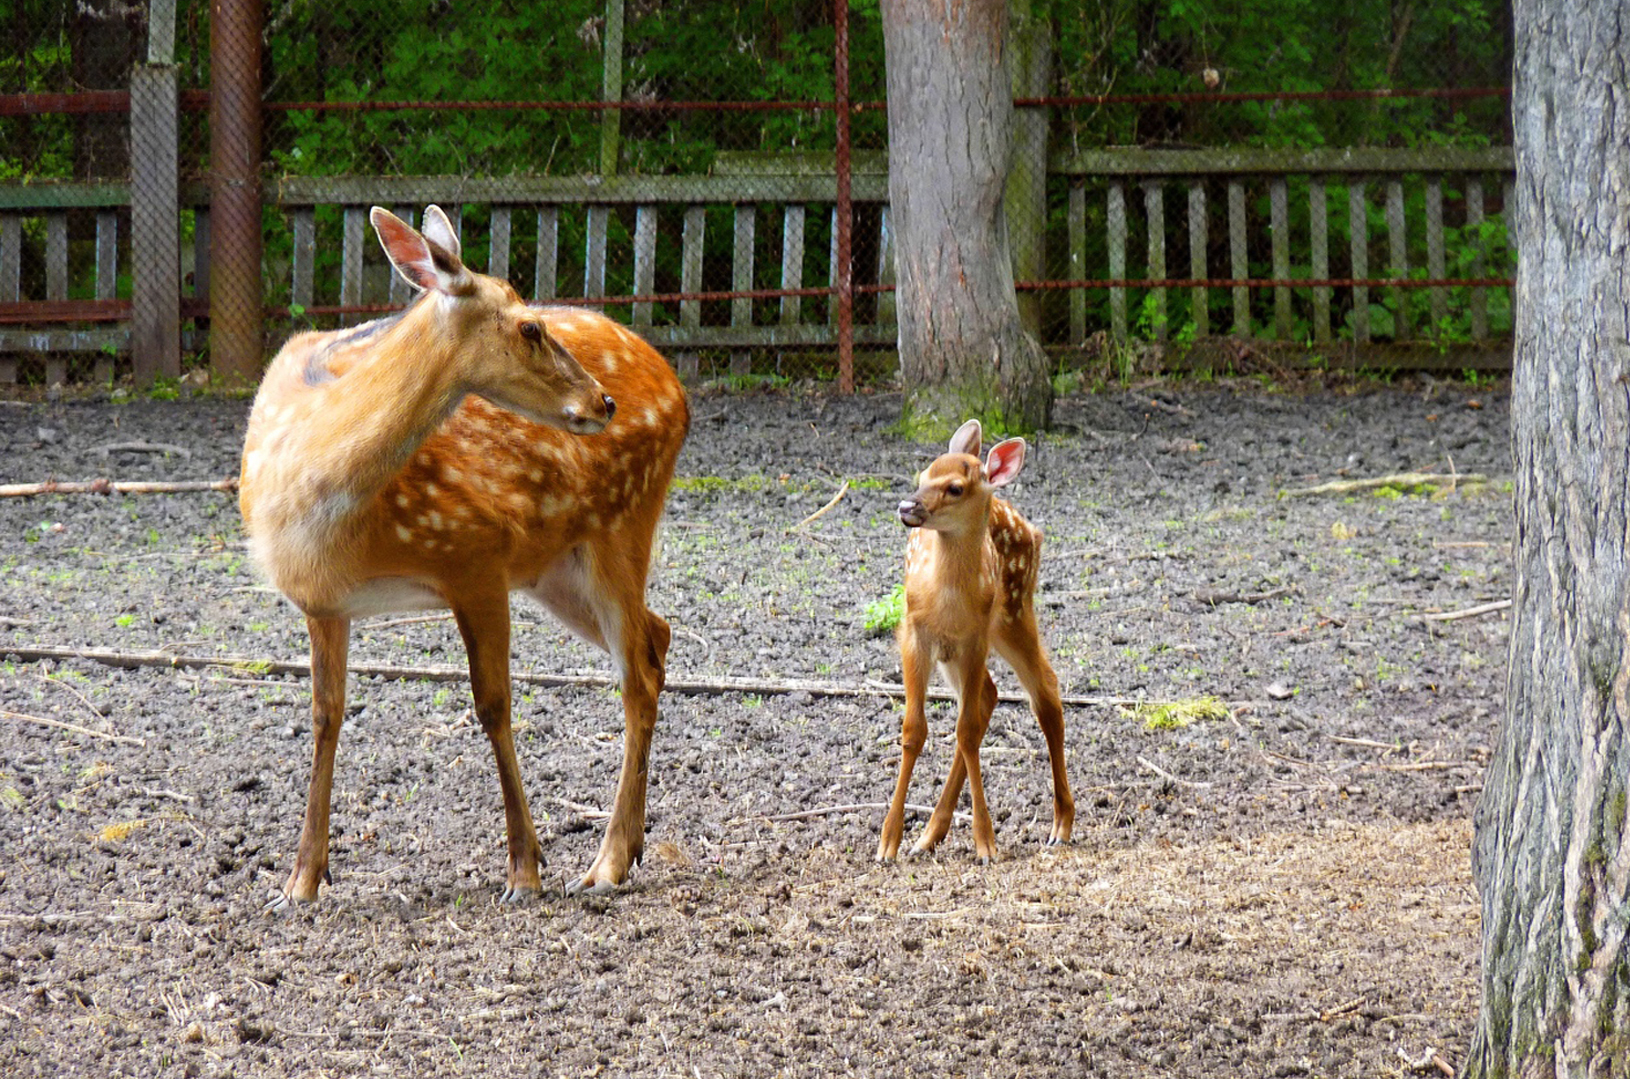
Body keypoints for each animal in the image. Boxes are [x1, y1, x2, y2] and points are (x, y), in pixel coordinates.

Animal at [237, 205, 684, 912]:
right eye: (529, 327)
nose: (603, 401)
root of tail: (677, 386)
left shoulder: (477, 554)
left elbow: (494, 705)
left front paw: (525, 870)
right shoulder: (324, 602)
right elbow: (325, 716)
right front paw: (301, 880)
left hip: (623, 521)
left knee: (635, 670)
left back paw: (607, 861)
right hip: (557, 568)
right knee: (657, 635)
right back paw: (630, 845)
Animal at [880, 417, 1069, 867]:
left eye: (954, 488)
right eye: (921, 475)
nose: (907, 506)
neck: (946, 601)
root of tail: (1031, 529)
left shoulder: (976, 636)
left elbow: (963, 730)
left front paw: (985, 843)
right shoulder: (914, 631)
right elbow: (914, 730)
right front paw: (888, 842)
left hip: (1013, 611)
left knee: (1044, 691)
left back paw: (1061, 825)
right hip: (967, 647)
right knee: (992, 694)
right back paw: (929, 835)